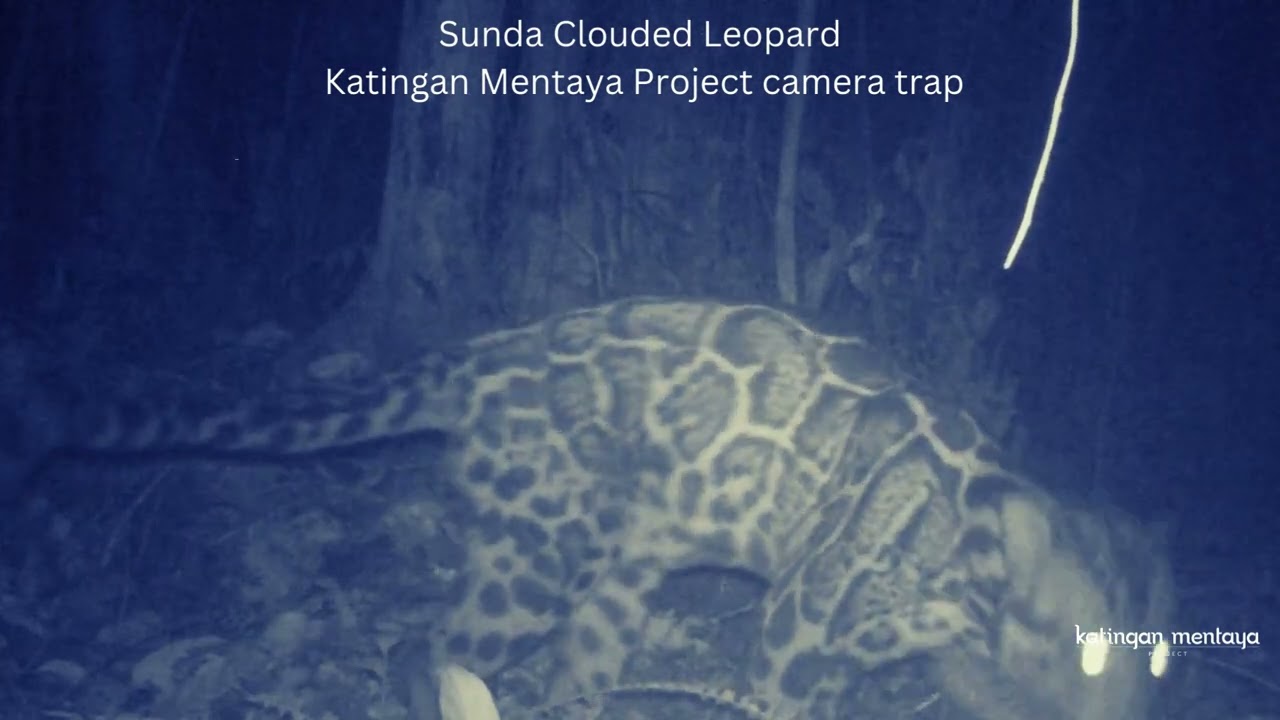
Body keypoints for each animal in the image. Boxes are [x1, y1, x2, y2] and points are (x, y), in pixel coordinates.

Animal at [8, 297, 1175, 720]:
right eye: (1075, 644)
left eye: (1147, 654)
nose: (1119, 712)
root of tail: (477, 356)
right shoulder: (800, 623)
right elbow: (784, 700)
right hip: (531, 560)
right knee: (427, 646)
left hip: (616, 576)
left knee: (572, 666)